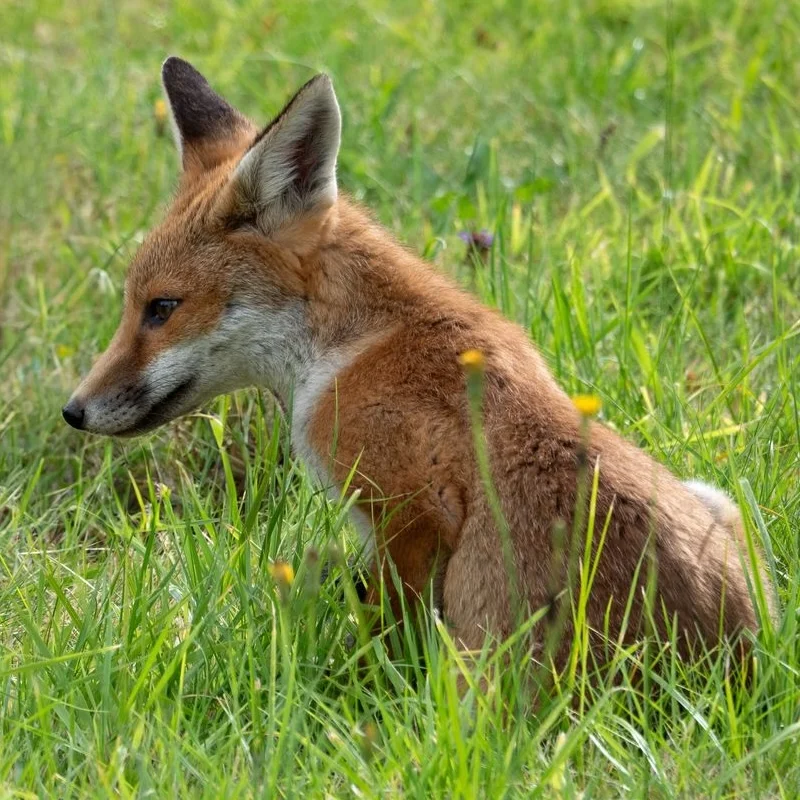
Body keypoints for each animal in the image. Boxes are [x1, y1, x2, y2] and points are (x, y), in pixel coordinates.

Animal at [63, 57, 775, 671]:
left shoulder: (414, 512)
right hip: (718, 503)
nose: (73, 411)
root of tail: (726, 669)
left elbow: (382, 634)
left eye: (161, 308)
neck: (353, 349)